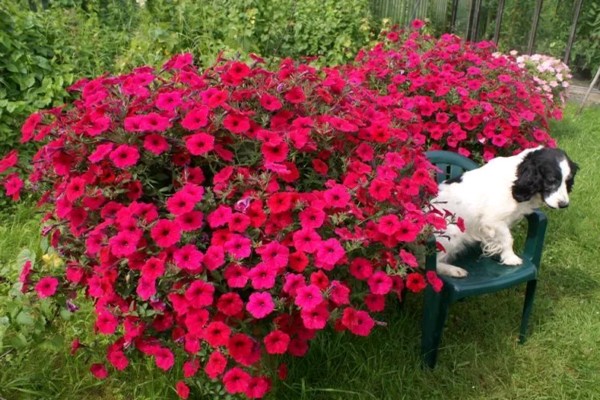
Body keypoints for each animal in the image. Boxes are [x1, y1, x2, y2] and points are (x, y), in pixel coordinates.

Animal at [434, 147, 580, 278]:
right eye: (551, 180)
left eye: (568, 181)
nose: (564, 204)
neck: (515, 178)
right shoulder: (493, 220)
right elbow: (508, 238)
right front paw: (511, 258)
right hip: (453, 231)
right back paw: (453, 270)